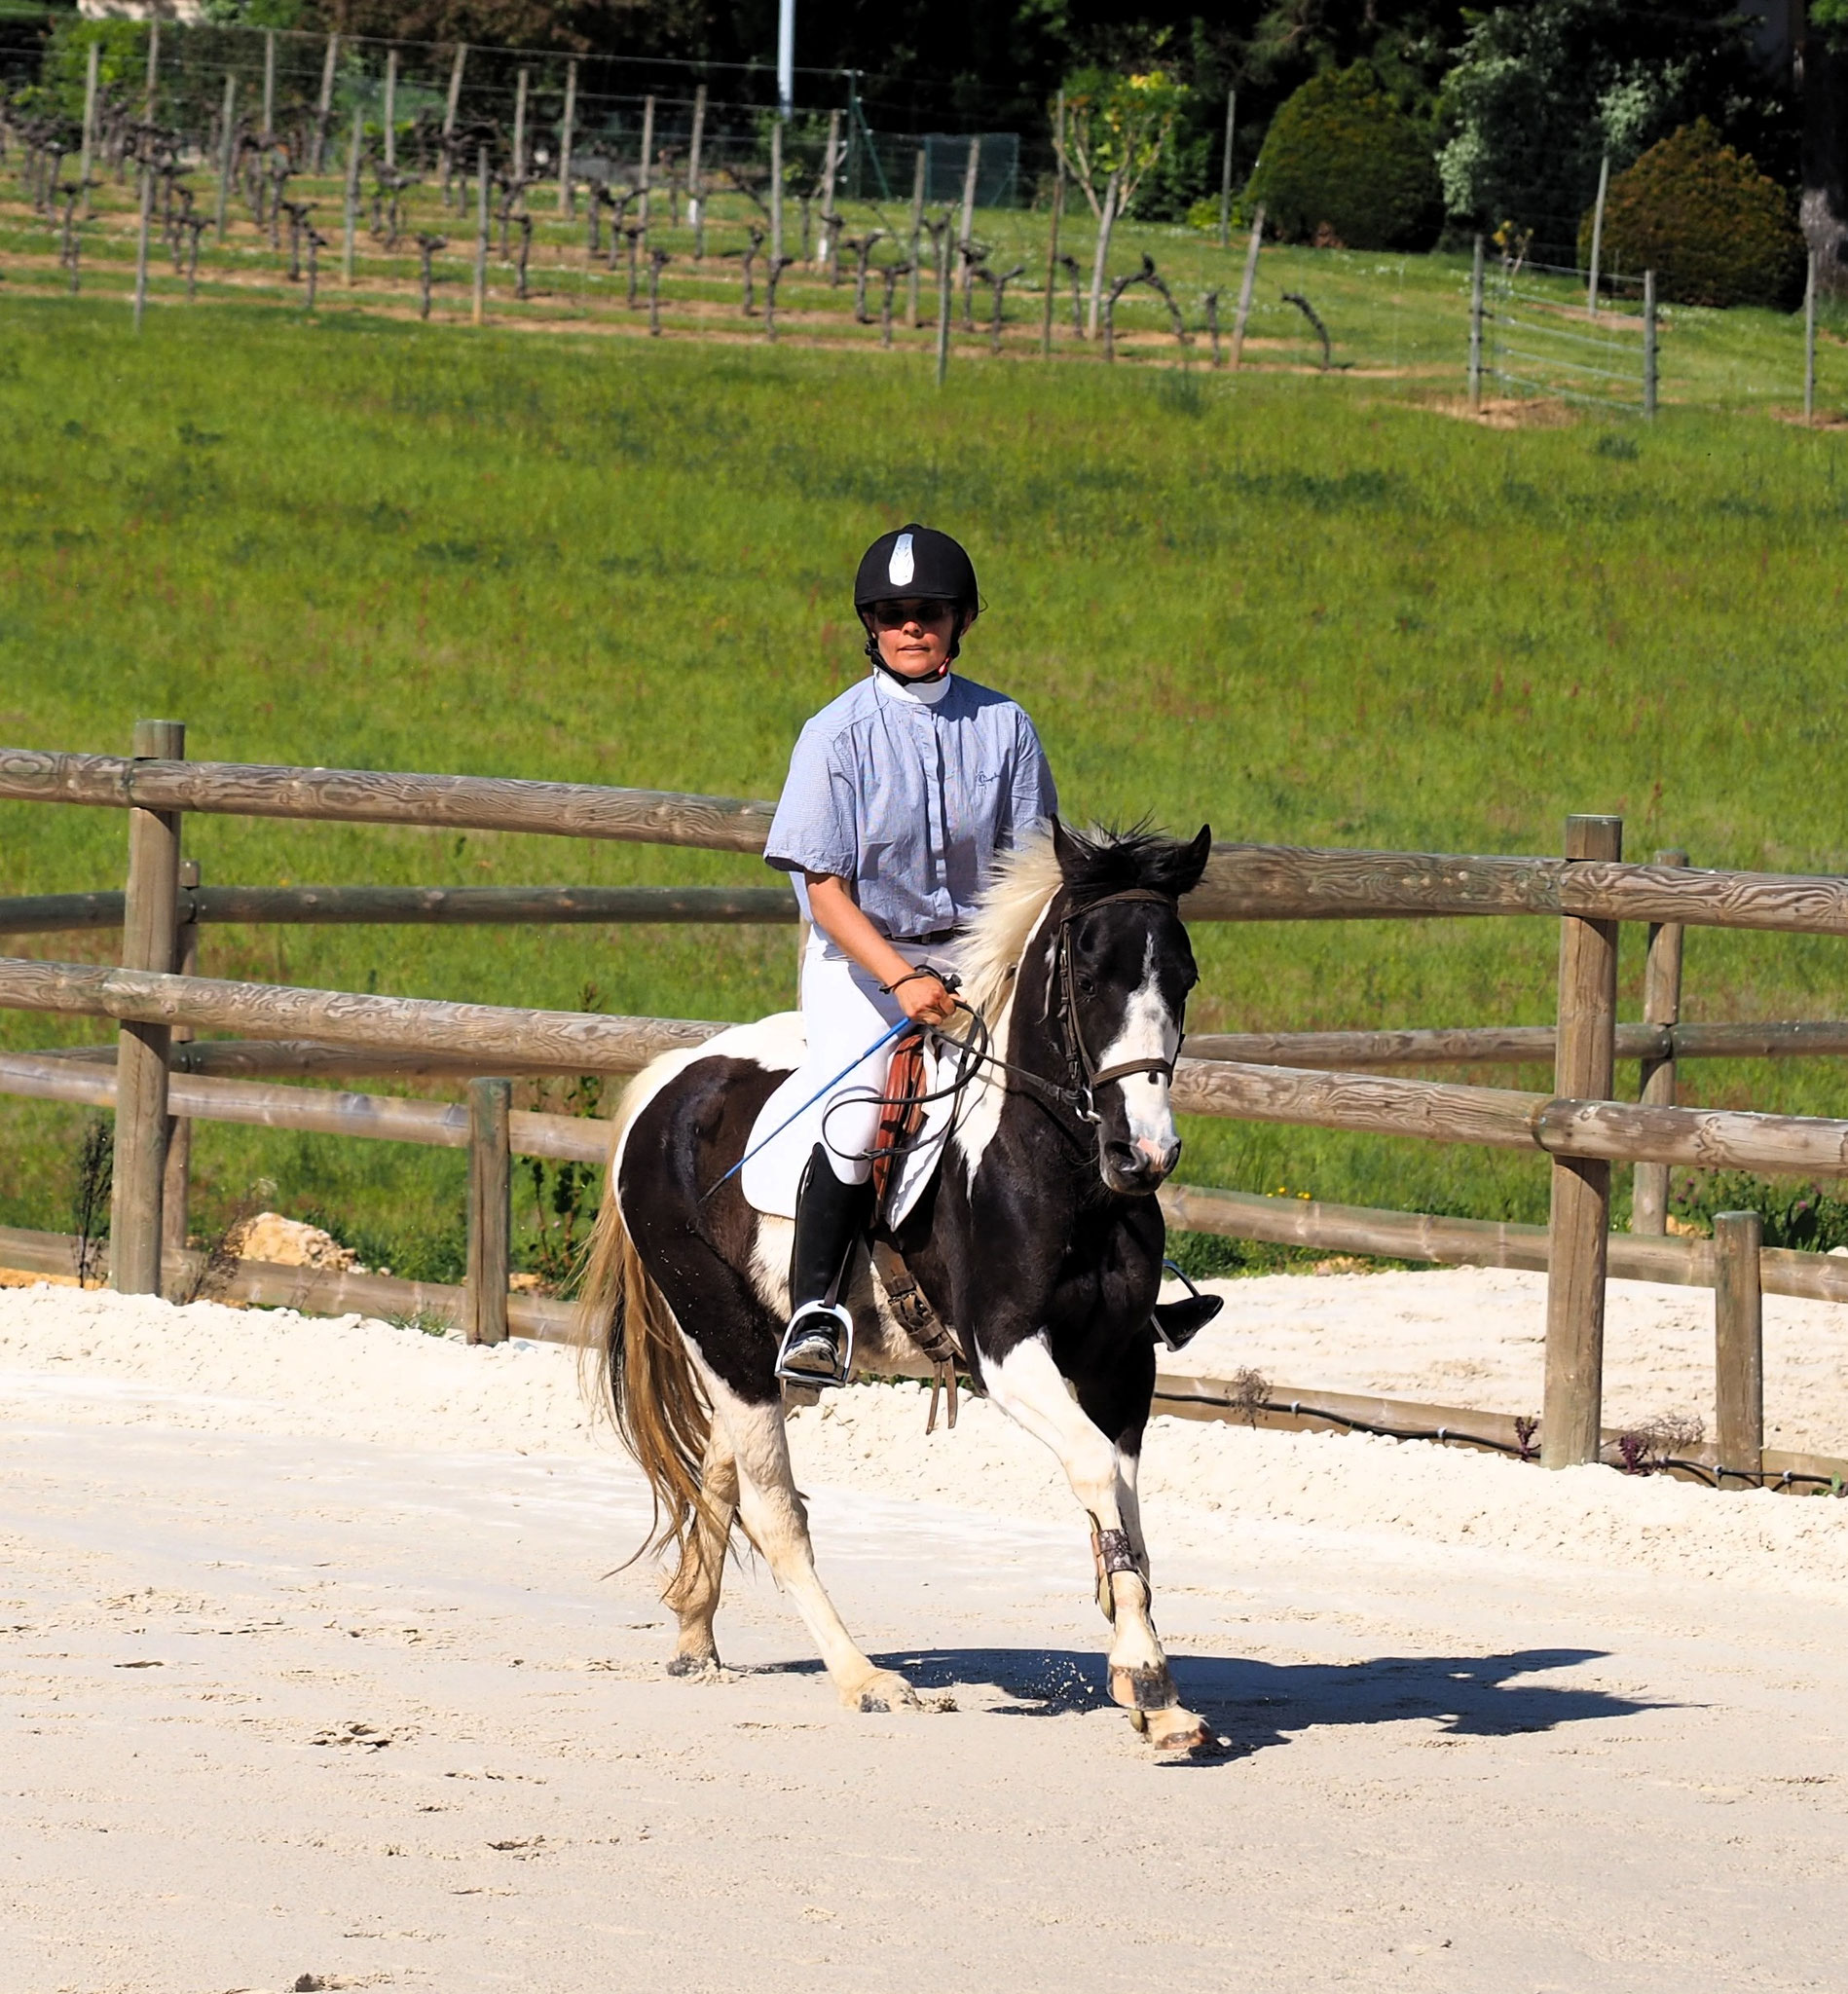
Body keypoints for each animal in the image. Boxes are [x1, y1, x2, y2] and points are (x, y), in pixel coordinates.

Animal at [576, 819, 1218, 1752]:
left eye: (1183, 977)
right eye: (1090, 976)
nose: (1146, 1154)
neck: (1060, 1168)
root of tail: (674, 1082)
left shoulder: (1122, 1363)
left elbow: (1128, 1509)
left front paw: (1154, 1688)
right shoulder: (1008, 1353)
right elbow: (1096, 1472)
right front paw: (1143, 1673)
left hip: (764, 1356)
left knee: (723, 1469)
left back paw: (695, 1633)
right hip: (721, 1333)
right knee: (774, 1511)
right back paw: (865, 1679)